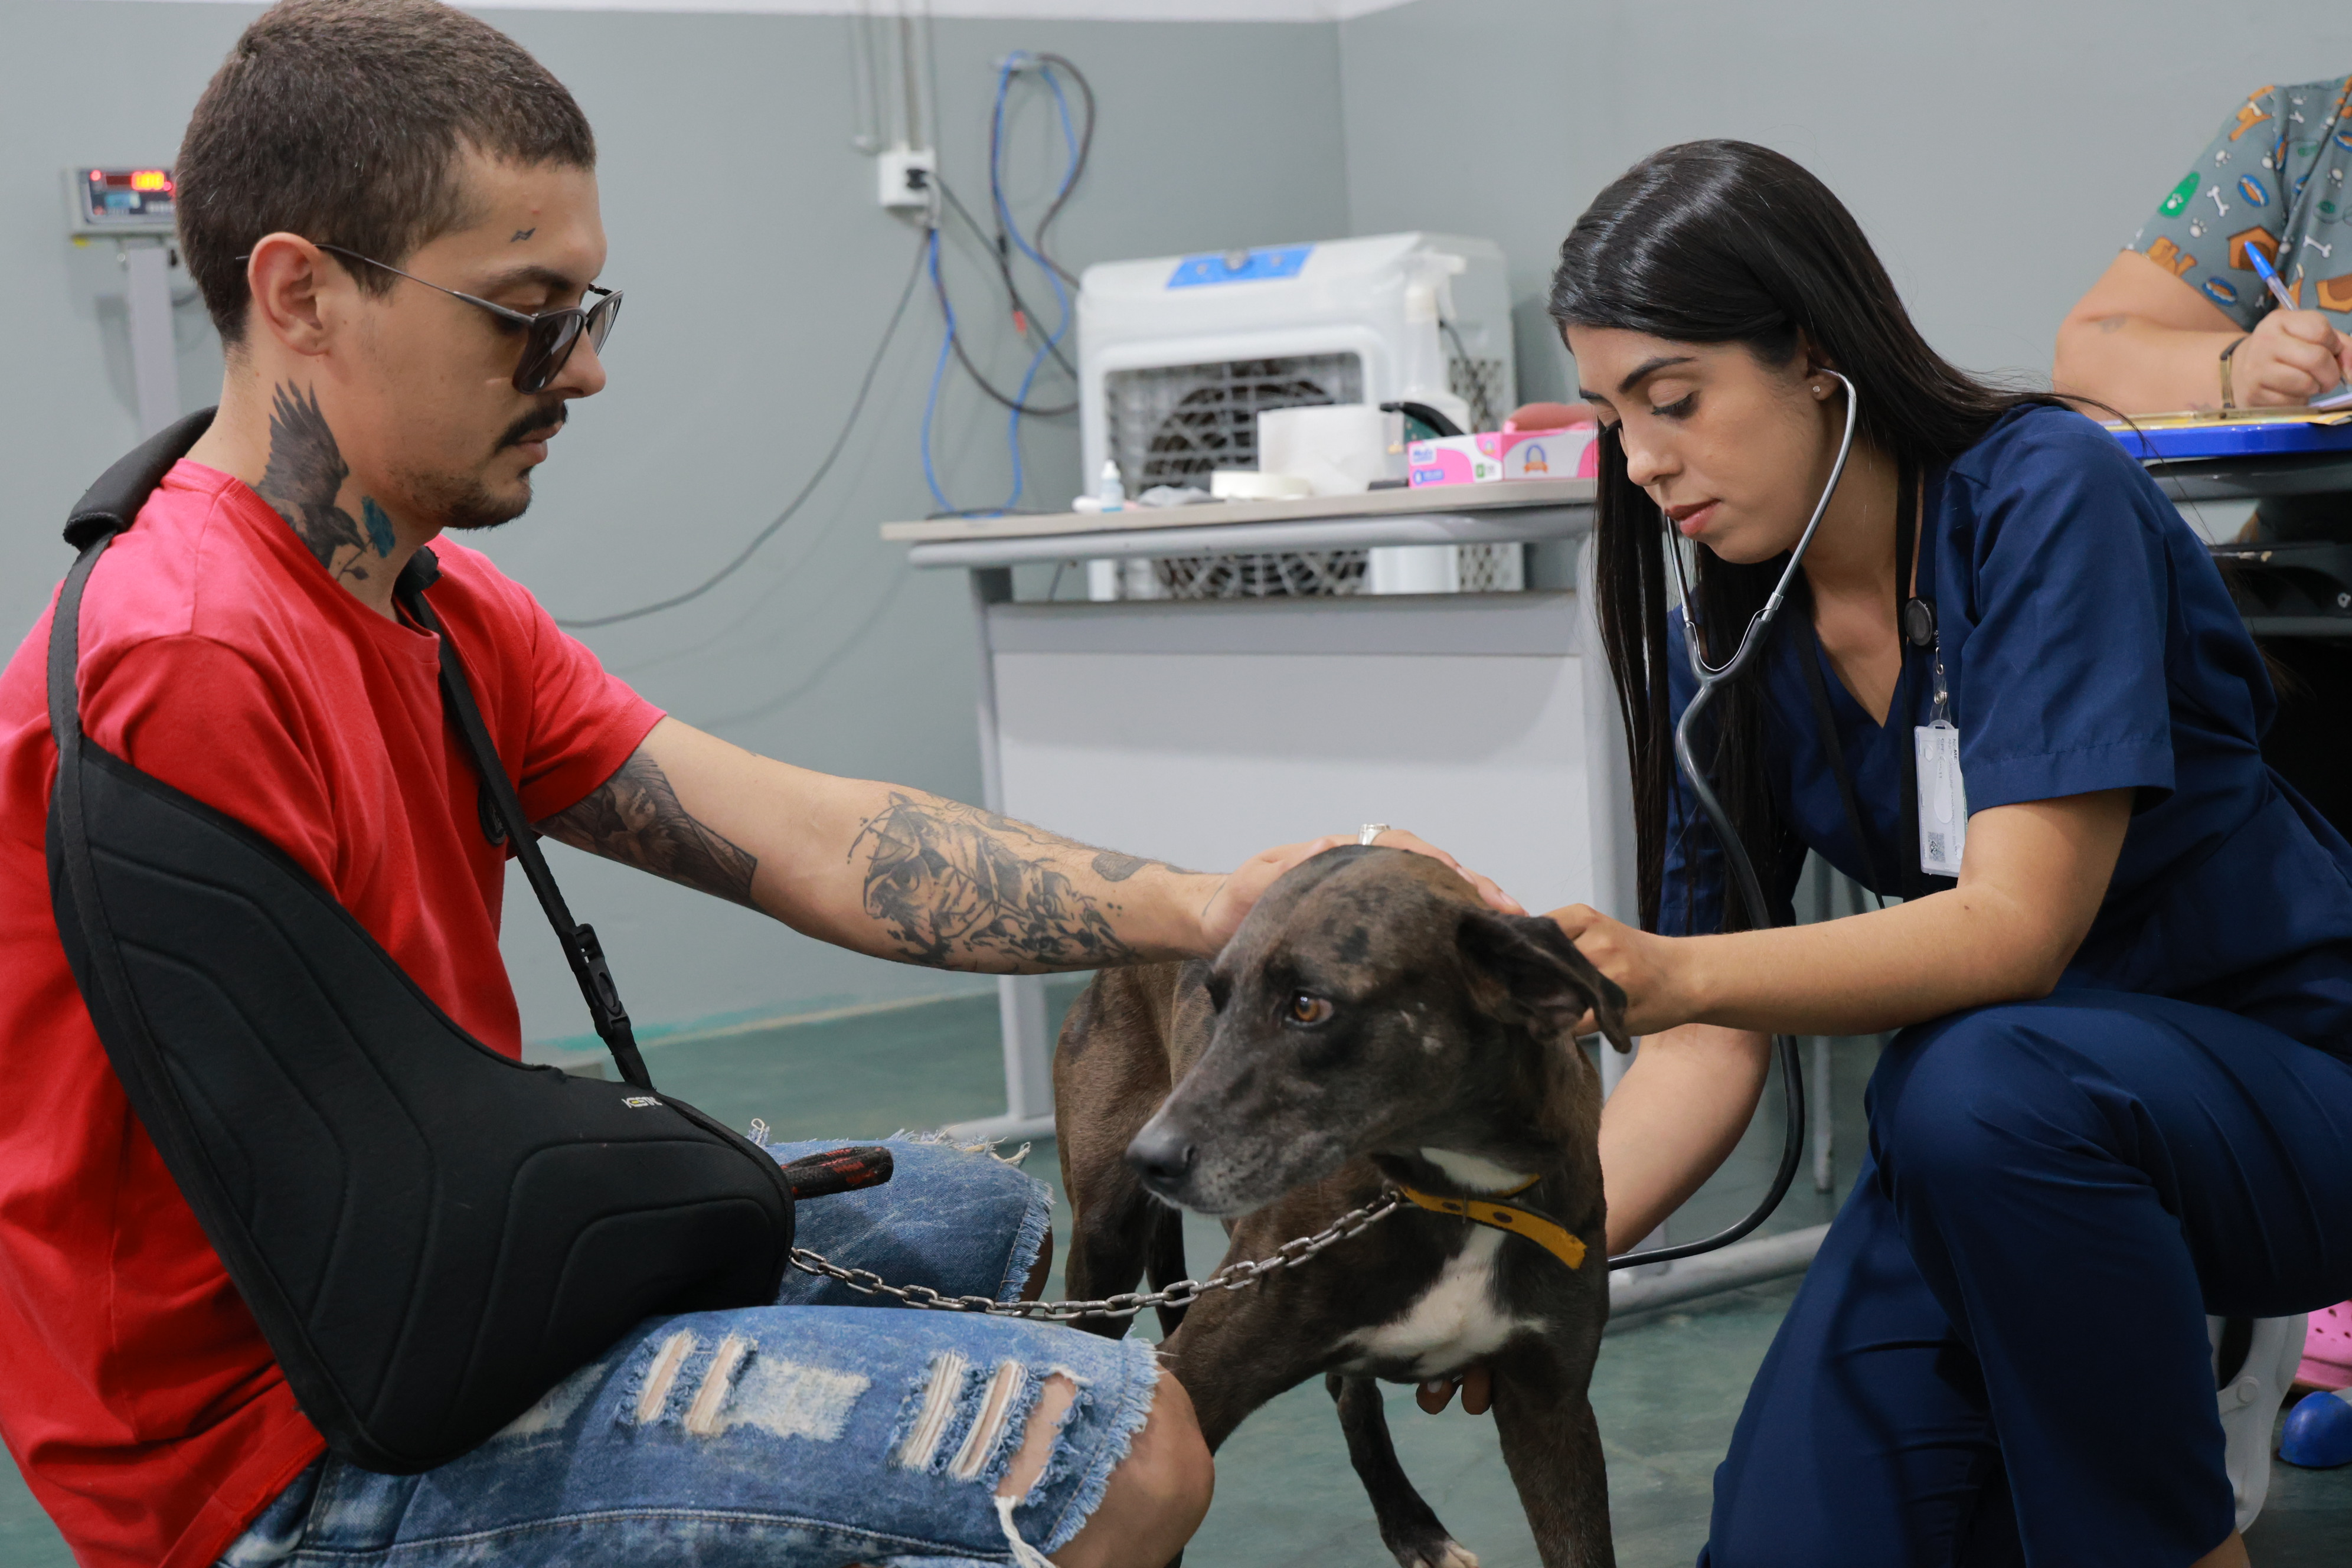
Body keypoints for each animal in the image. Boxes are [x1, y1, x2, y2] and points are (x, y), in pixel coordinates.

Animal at [1053, 845, 1629, 1568]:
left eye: (1307, 1006)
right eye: (1217, 1002)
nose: (1148, 1158)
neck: (1460, 1194)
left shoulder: (1550, 1407)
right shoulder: (1183, 1403)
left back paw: (1413, 1526)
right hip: (1105, 1247)